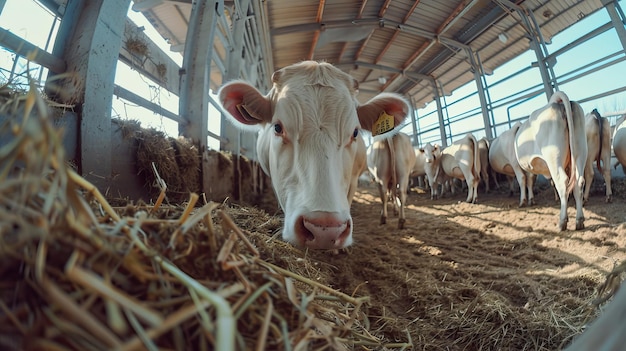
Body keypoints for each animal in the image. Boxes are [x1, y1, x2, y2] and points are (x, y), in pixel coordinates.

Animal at [512, 92, 584, 232]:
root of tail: (558, 104)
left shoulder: (523, 166)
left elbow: (525, 180)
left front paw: (525, 201)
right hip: (580, 152)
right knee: (578, 183)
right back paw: (579, 221)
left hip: (553, 156)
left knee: (562, 182)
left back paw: (562, 222)